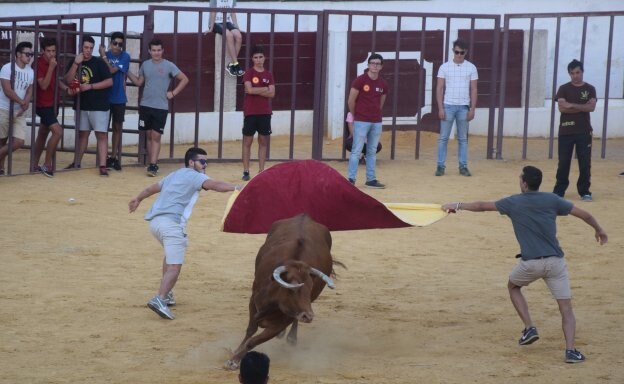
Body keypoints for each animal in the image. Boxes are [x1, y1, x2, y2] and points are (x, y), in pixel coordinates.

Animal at [224, 213, 344, 368]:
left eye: (310, 287)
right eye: (292, 287)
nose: (308, 316)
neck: (273, 300)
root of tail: (304, 216)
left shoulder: (283, 321)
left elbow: (254, 341)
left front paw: (235, 360)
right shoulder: (253, 301)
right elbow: (251, 330)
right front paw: (236, 352)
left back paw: (292, 338)